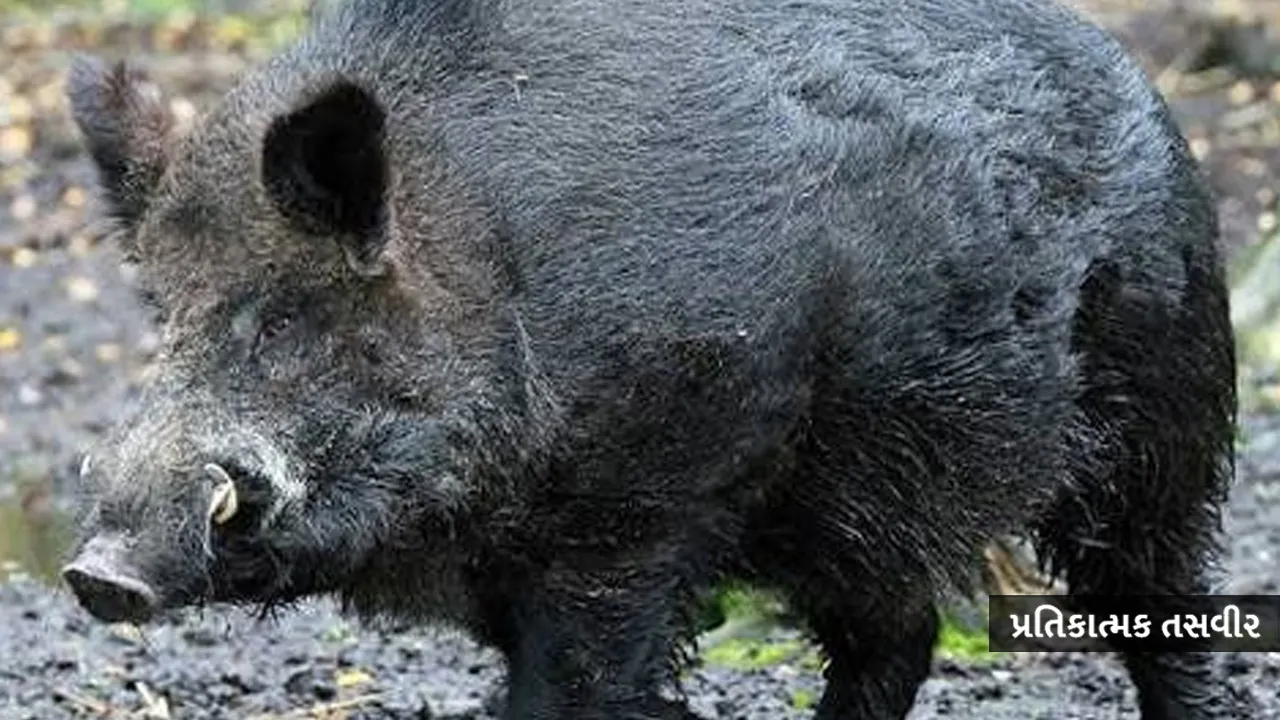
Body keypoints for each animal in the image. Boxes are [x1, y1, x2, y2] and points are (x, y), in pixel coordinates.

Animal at [60, 0, 1239, 718]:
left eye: (286, 318)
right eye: (161, 309)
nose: (97, 573)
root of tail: (1141, 89)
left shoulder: (646, 506)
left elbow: (580, 686)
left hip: (1160, 418)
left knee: (1165, 605)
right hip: (857, 504)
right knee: (897, 634)